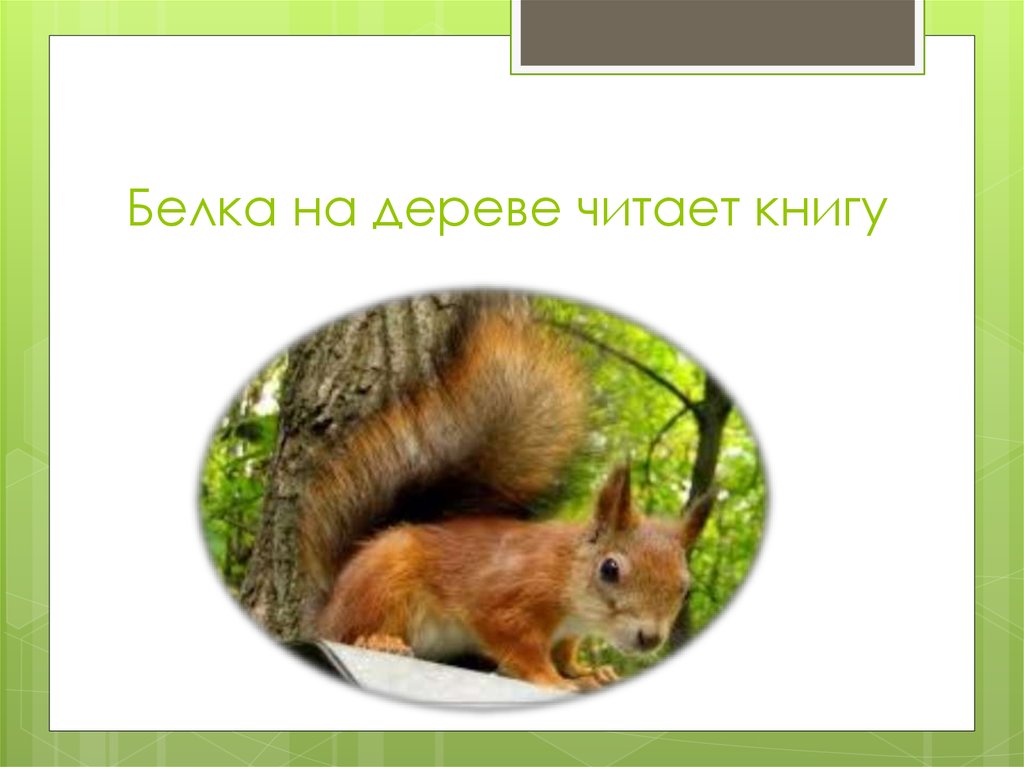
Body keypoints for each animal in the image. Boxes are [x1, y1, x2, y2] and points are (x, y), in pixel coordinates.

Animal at [298, 305, 715, 692]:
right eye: (610, 569)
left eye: (685, 587)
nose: (650, 638)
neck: (568, 578)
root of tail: (332, 600)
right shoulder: (507, 602)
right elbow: (521, 650)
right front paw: (554, 680)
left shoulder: (568, 632)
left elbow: (565, 652)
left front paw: (588, 673)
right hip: (382, 584)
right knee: (351, 630)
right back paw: (379, 641)